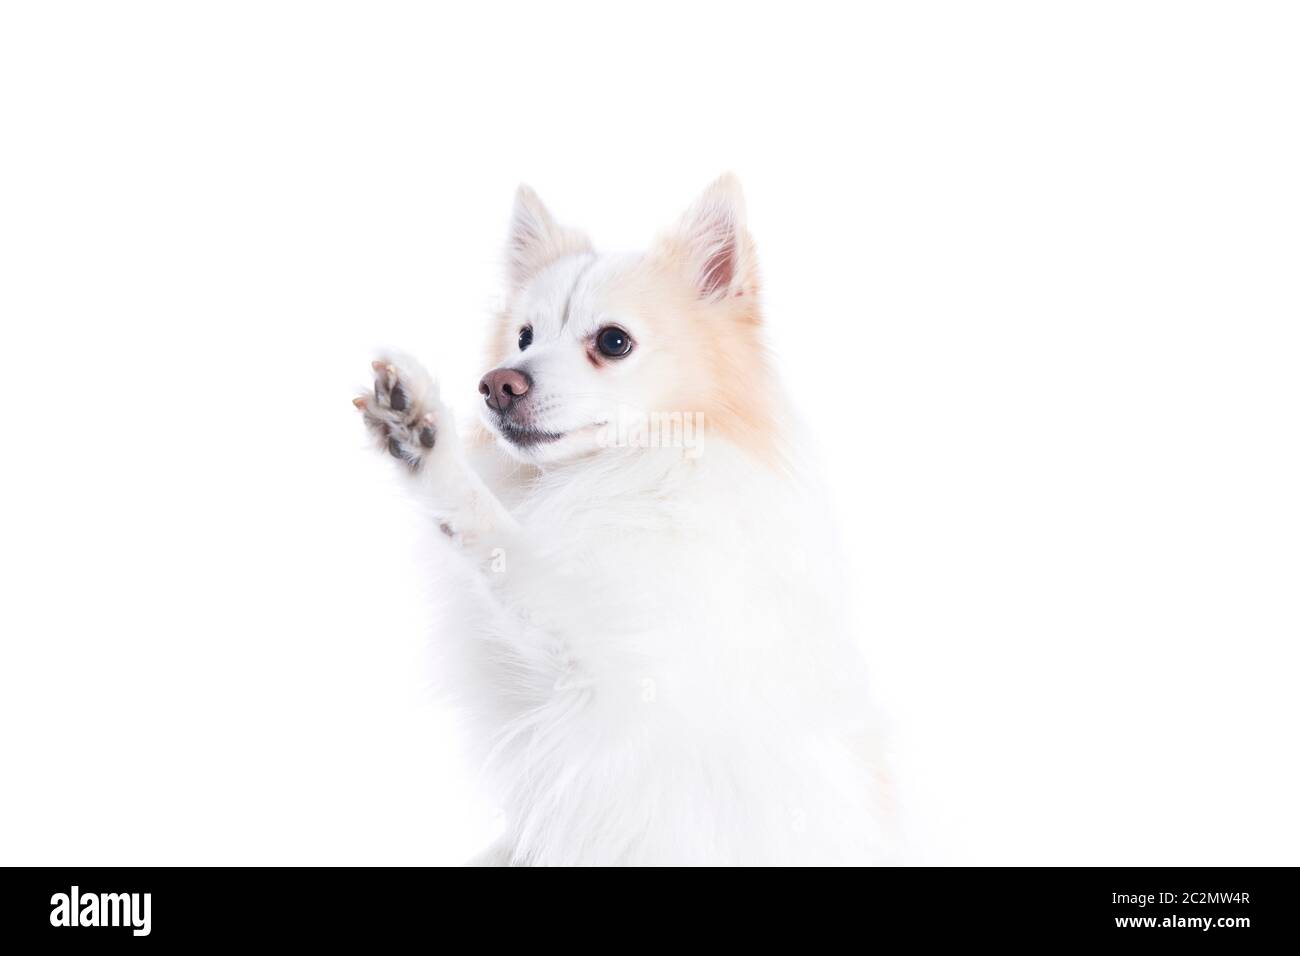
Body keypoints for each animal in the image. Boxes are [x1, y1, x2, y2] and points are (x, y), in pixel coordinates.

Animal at [353, 178, 894, 868]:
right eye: (524, 337)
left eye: (613, 342)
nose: (495, 385)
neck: (621, 474)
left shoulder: (607, 671)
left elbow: (511, 552)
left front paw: (430, 444)